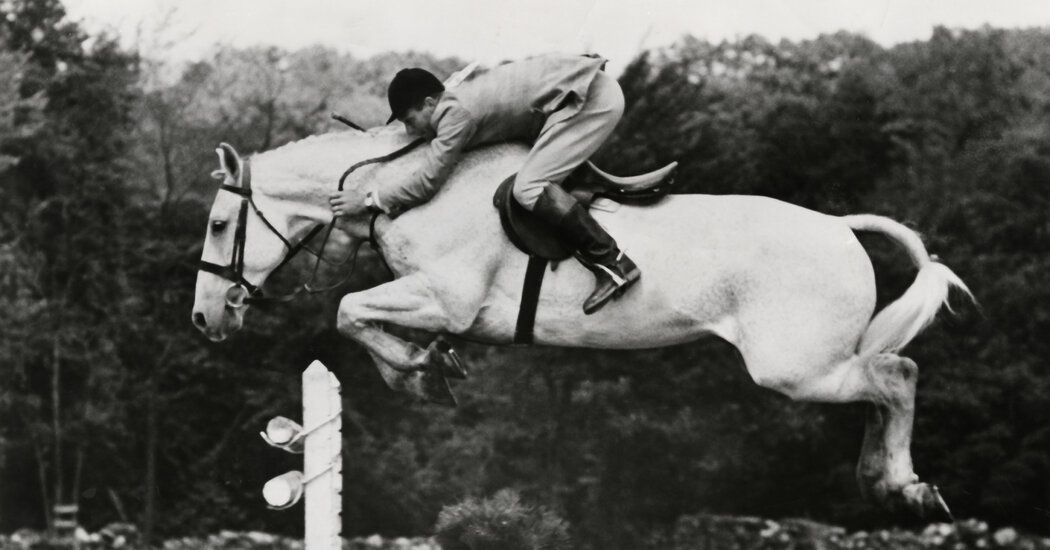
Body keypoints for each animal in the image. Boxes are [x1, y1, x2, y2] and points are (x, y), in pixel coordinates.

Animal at [191, 125, 972, 520]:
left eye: (220, 223)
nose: (206, 319)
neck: (404, 189)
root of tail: (839, 227)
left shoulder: (445, 296)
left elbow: (350, 311)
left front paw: (417, 372)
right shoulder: (433, 300)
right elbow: (363, 320)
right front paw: (427, 367)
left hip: (796, 367)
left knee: (897, 376)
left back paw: (906, 485)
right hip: (812, 364)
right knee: (883, 383)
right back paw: (880, 482)